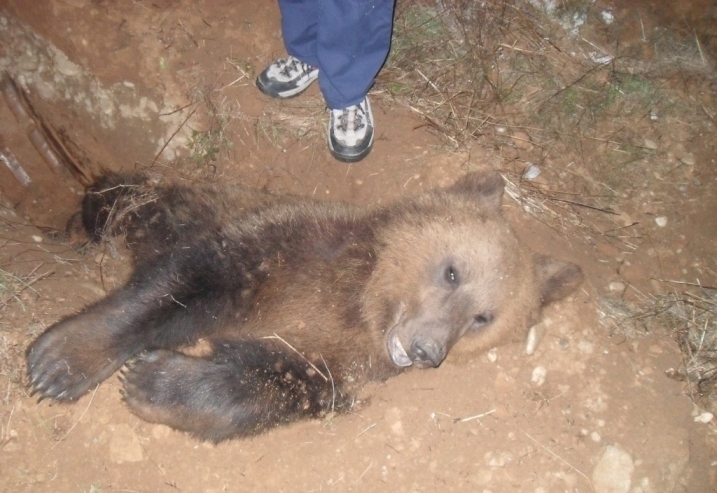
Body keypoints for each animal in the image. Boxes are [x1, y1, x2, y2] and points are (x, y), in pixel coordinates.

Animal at [25, 170, 580, 442]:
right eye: (452, 272)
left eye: (483, 318)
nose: (428, 350)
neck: (364, 303)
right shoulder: (289, 250)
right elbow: (186, 281)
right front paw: (60, 362)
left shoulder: (343, 360)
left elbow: (278, 382)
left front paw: (154, 379)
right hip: (167, 202)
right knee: (121, 199)